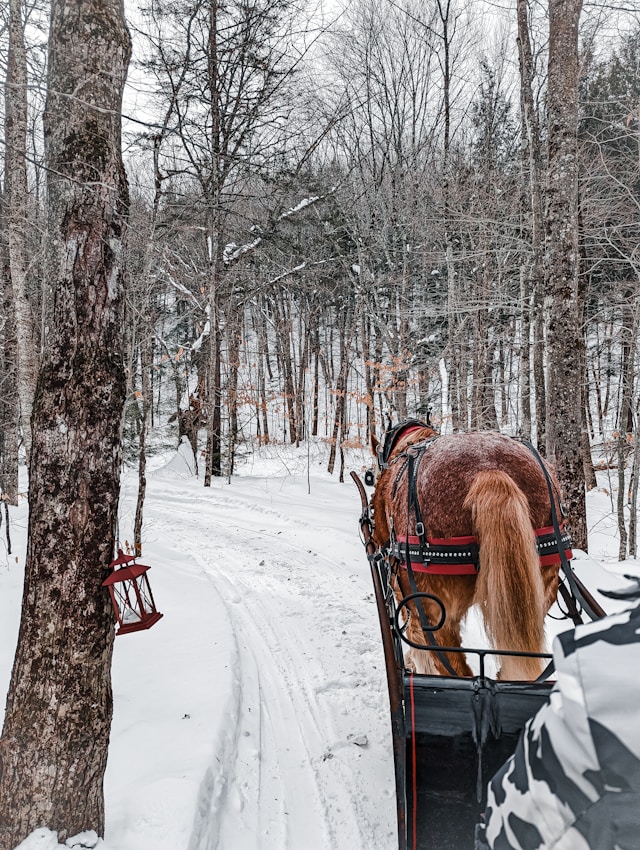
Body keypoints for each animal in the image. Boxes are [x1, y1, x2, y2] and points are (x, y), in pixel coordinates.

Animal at [370, 420, 568, 680]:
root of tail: (489, 472)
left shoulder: (403, 593)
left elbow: (414, 639)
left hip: (436, 612)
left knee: (454, 670)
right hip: (540, 590)